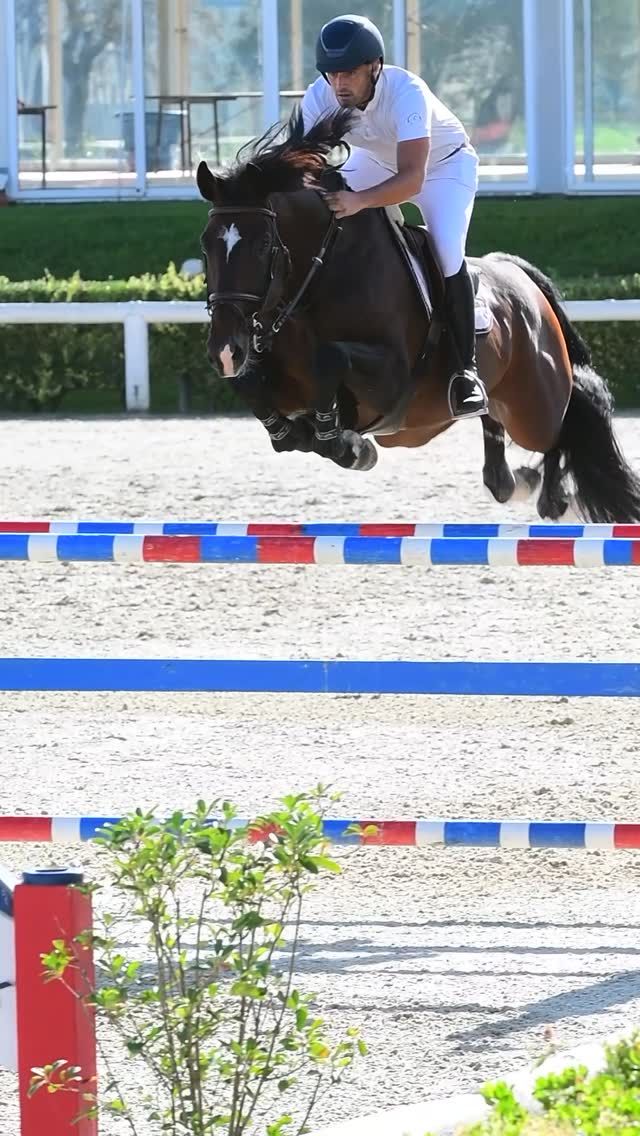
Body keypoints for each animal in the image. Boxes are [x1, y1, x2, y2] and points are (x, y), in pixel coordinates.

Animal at [196, 109, 640, 523]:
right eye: (206, 244)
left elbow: (330, 358)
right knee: (501, 452)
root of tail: (519, 275)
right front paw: (300, 434)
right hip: (501, 402)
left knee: (564, 424)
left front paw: (346, 444)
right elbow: (254, 387)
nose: (225, 351)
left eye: (262, 244)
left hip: (534, 407)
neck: (319, 278)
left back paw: (553, 496)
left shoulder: (389, 378)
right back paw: (519, 482)